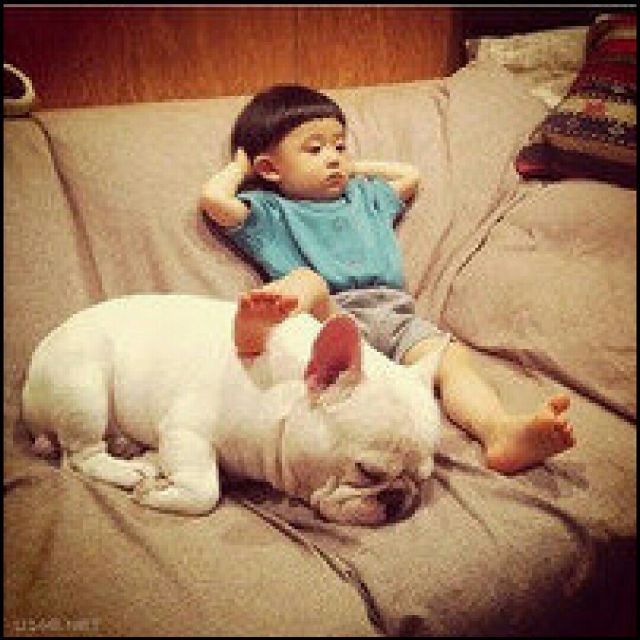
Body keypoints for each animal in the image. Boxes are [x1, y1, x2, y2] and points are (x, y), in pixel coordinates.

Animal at [21, 294, 446, 525]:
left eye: (423, 479)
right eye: (366, 471)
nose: (397, 499)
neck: (285, 400)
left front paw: (156, 465)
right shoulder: (185, 430)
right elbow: (205, 491)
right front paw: (156, 493)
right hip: (83, 385)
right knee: (83, 455)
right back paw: (127, 471)